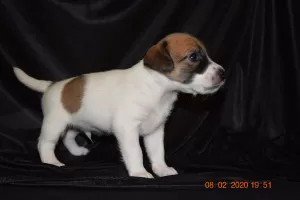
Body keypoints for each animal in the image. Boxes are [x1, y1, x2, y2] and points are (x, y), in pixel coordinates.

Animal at [13, 32, 225, 178]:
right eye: (193, 57)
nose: (223, 73)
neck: (157, 87)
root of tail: (52, 85)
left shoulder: (155, 131)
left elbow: (157, 152)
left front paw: (161, 169)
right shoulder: (127, 128)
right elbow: (136, 152)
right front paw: (139, 172)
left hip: (74, 123)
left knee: (68, 137)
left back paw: (77, 151)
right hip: (54, 124)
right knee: (45, 143)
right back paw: (51, 162)